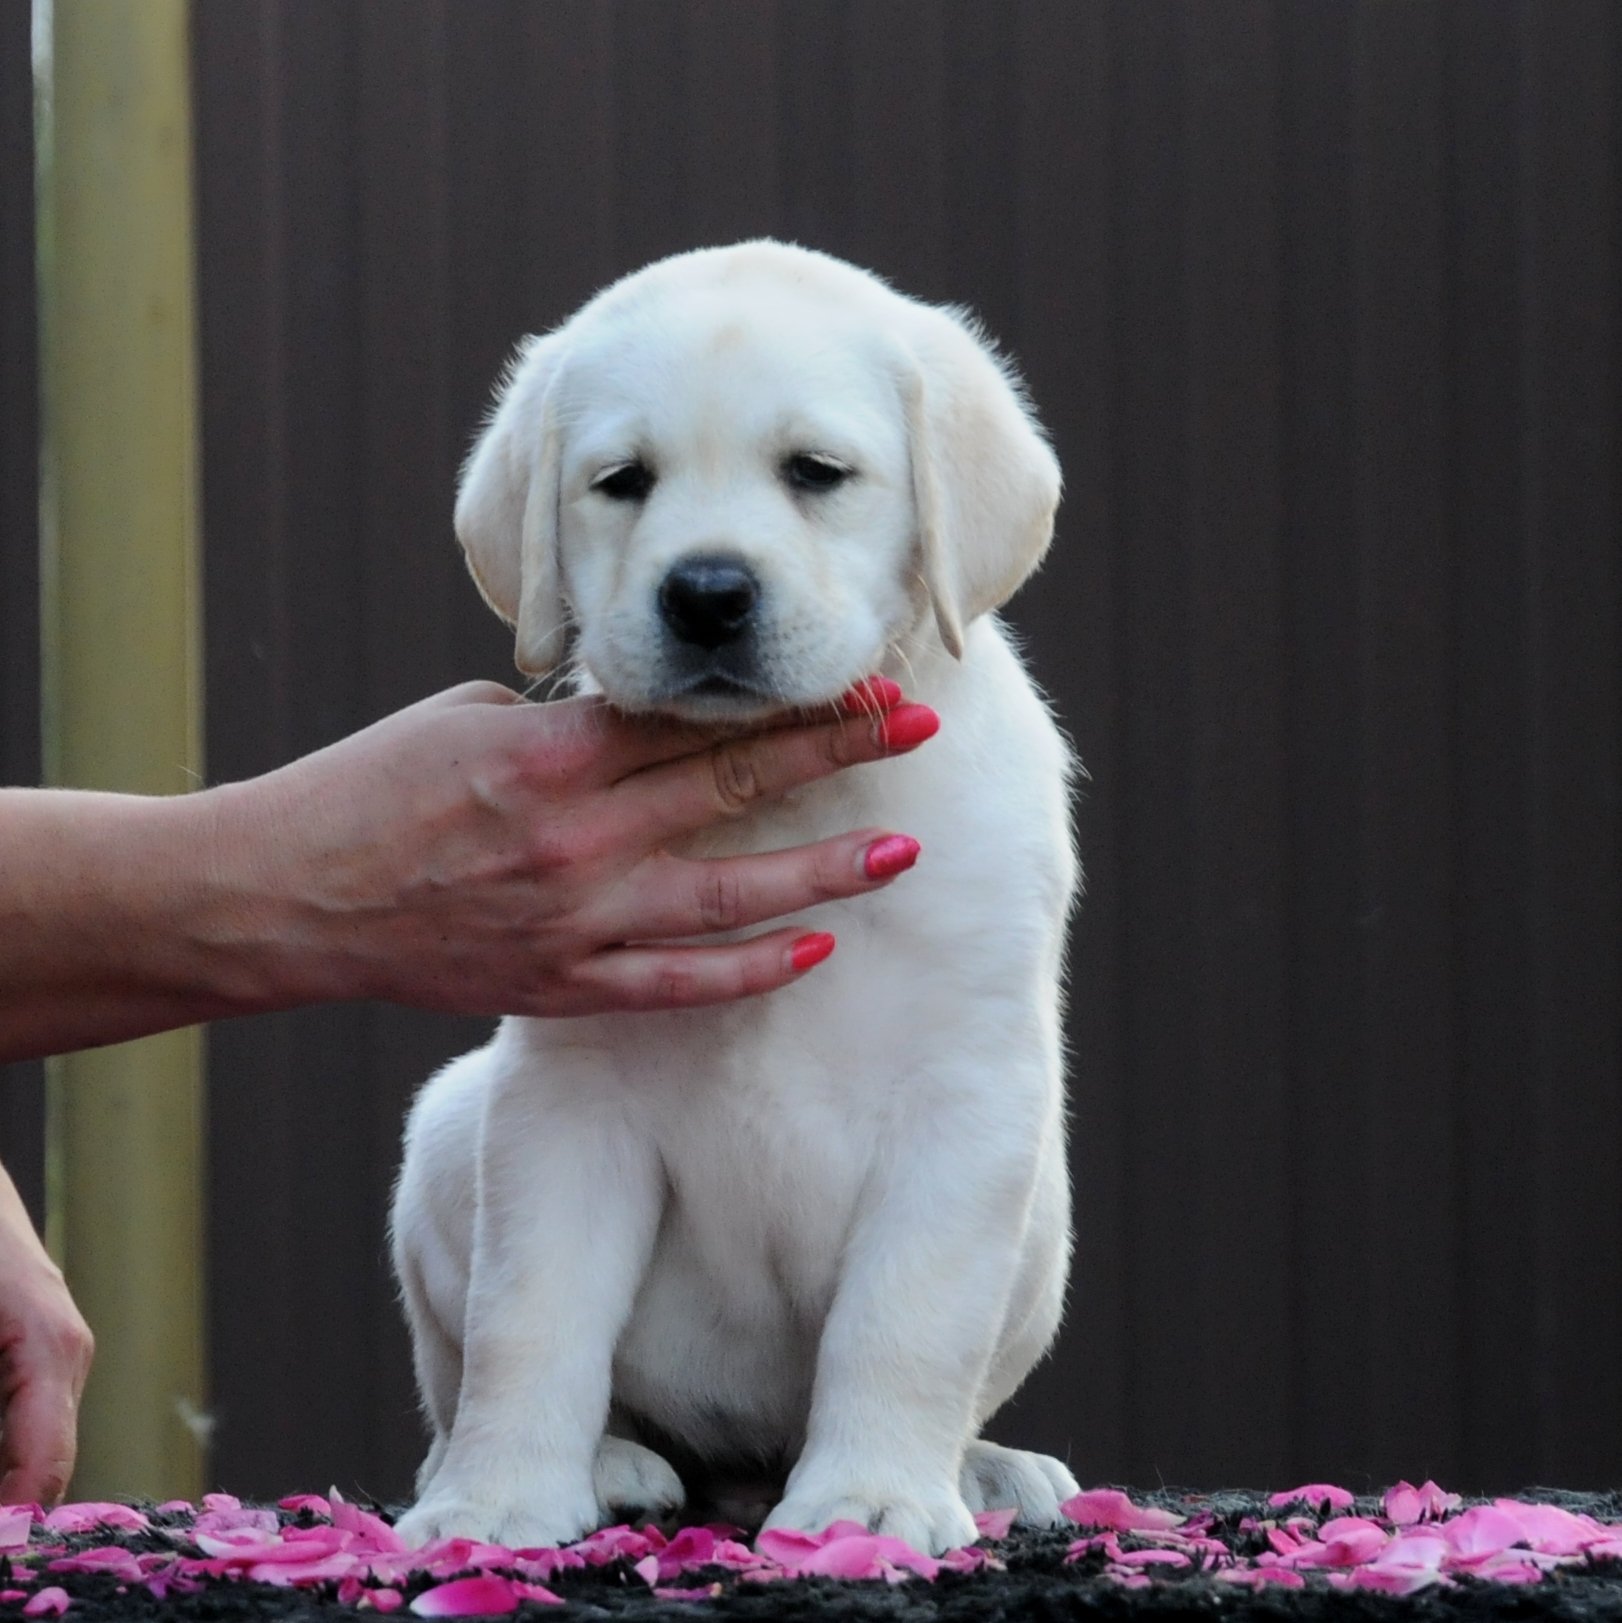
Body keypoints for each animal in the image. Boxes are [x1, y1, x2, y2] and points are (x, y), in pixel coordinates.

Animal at [388, 236, 1084, 1545]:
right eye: (621, 482)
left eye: (816, 473)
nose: (706, 592)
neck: (776, 801)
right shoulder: (569, 1095)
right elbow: (531, 1321)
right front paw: (498, 1500)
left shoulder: (965, 1097)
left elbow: (906, 1320)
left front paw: (870, 1497)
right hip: (453, 1126)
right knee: (454, 1386)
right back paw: (599, 1461)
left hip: (1041, 1221)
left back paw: (981, 1469)